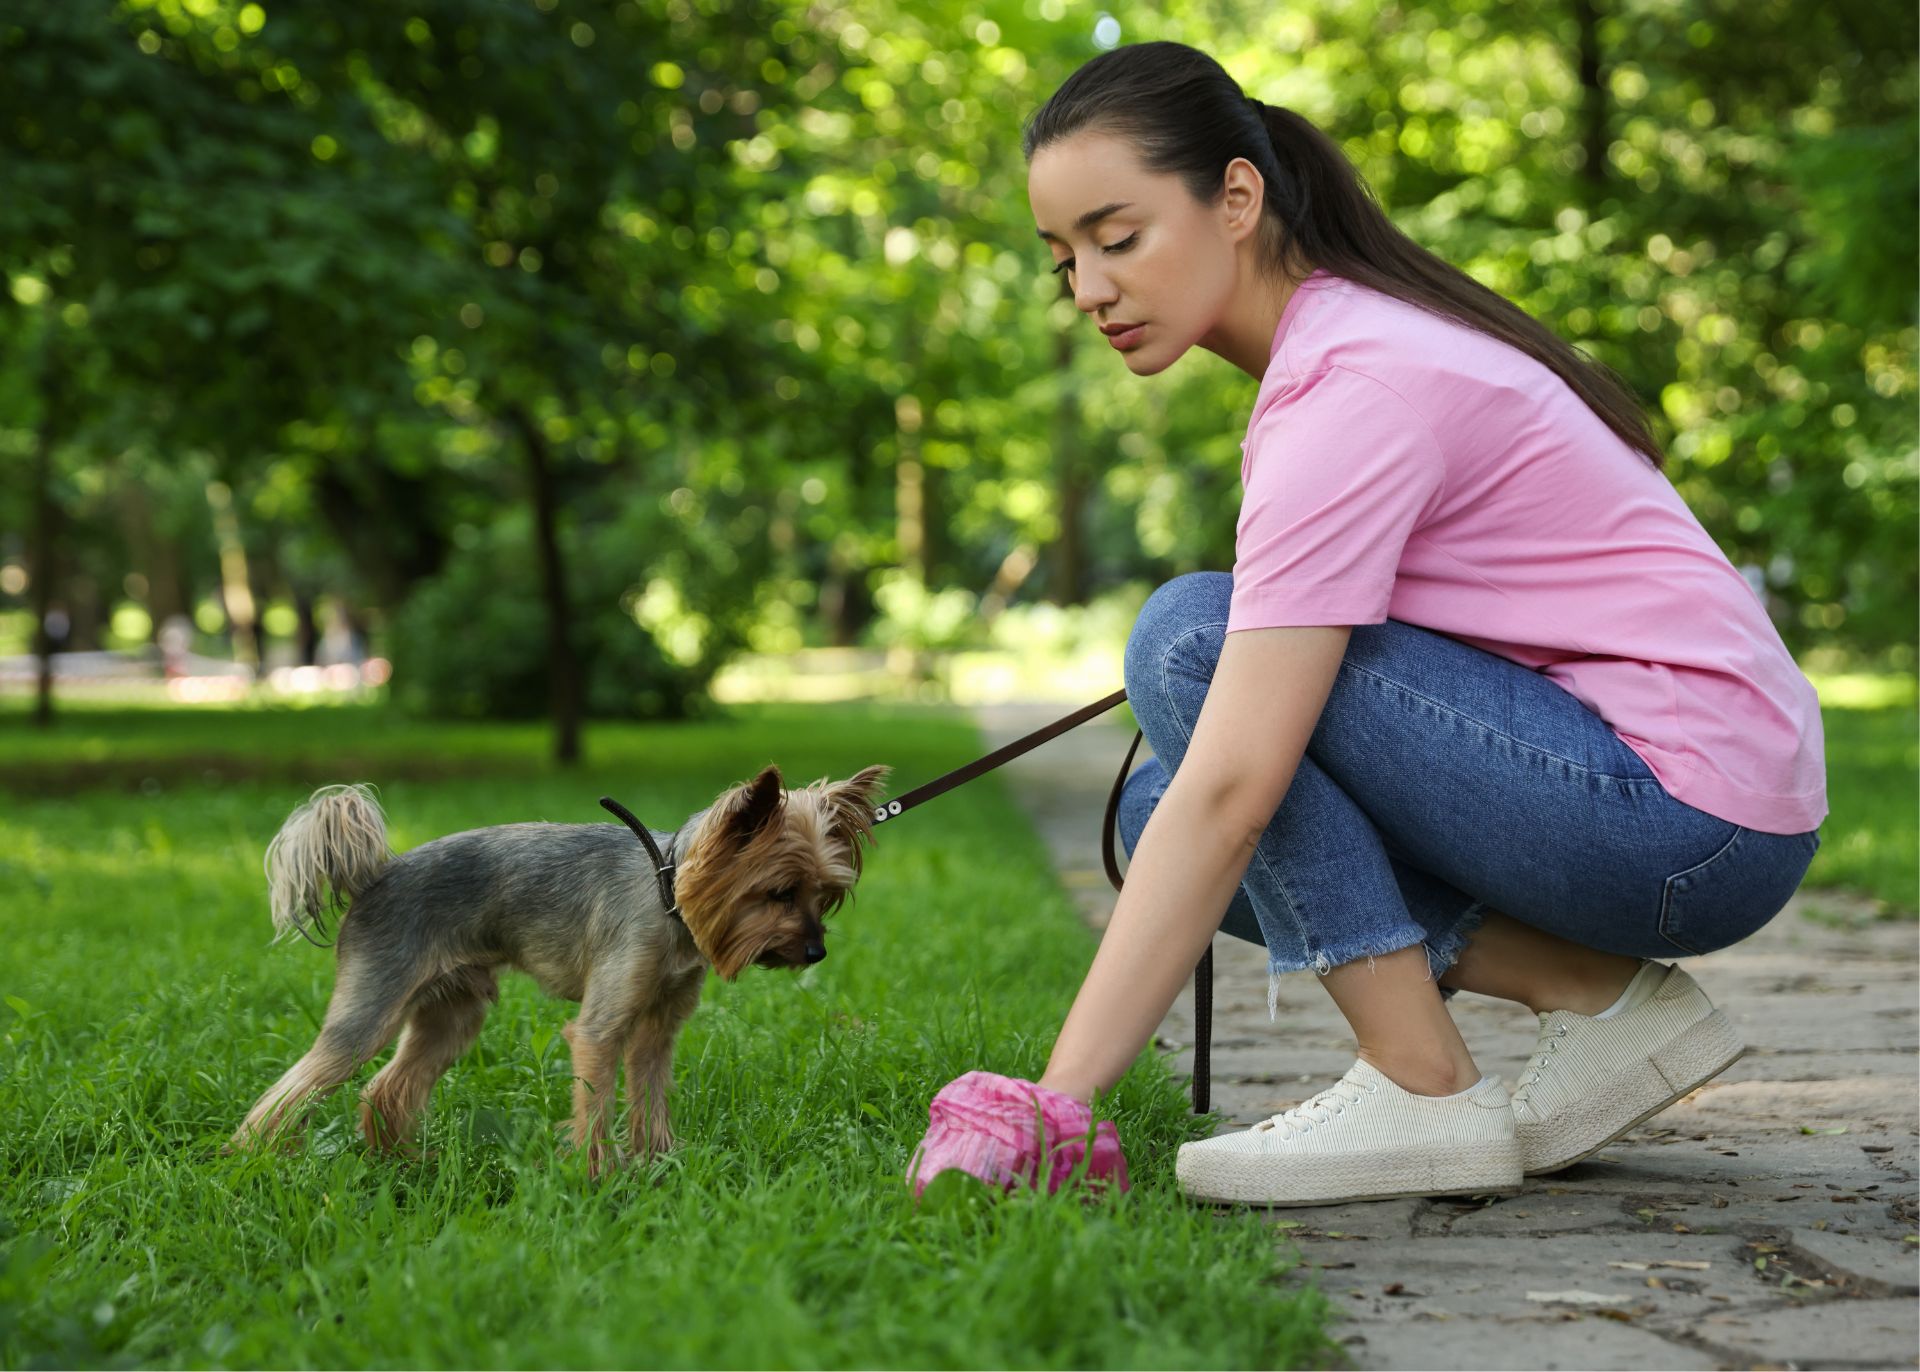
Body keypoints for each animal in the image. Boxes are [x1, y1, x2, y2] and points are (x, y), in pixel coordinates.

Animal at [230, 763, 883, 1166]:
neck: (667, 888)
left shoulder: (657, 1028)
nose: (817, 952)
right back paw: (253, 1160)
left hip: (453, 1013)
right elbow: (595, 1105)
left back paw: (402, 1163)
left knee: (387, 1087)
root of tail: (373, 876)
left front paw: (659, 1162)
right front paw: (599, 1178)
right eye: (778, 893)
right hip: (372, 1006)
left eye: (825, 896)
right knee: (296, 1088)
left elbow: (649, 1094)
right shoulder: (602, 1027)